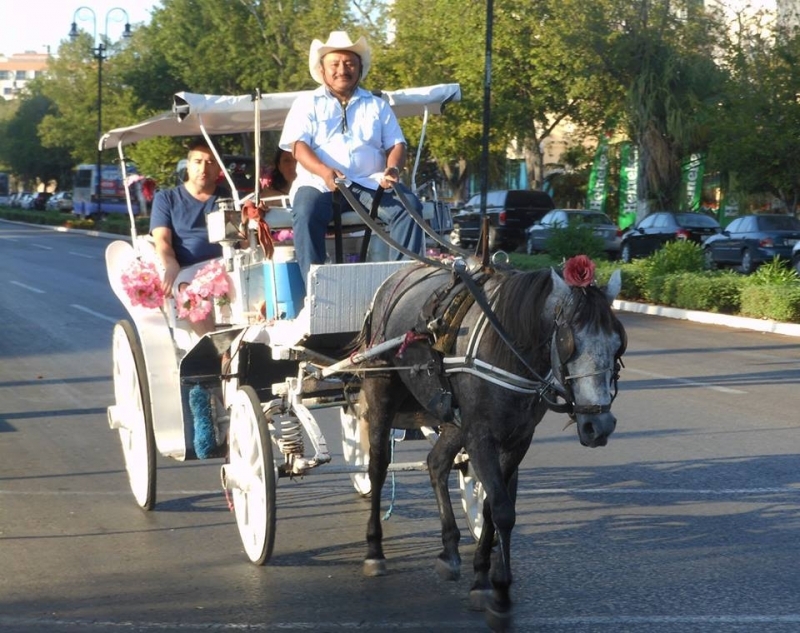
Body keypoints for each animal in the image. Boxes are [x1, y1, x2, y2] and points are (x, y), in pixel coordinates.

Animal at [354, 254, 624, 628]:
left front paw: (482, 576)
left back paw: (450, 549)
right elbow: (502, 510)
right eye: (569, 343)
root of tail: (401, 273)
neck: (508, 350)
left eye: (616, 344)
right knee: (378, 468)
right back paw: (374, 550)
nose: (598, 425)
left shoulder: (516, 439)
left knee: (436, 464)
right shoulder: (481, 436)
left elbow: (491, 508)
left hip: (454, 420)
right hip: (382, 390)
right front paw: (499, 593)